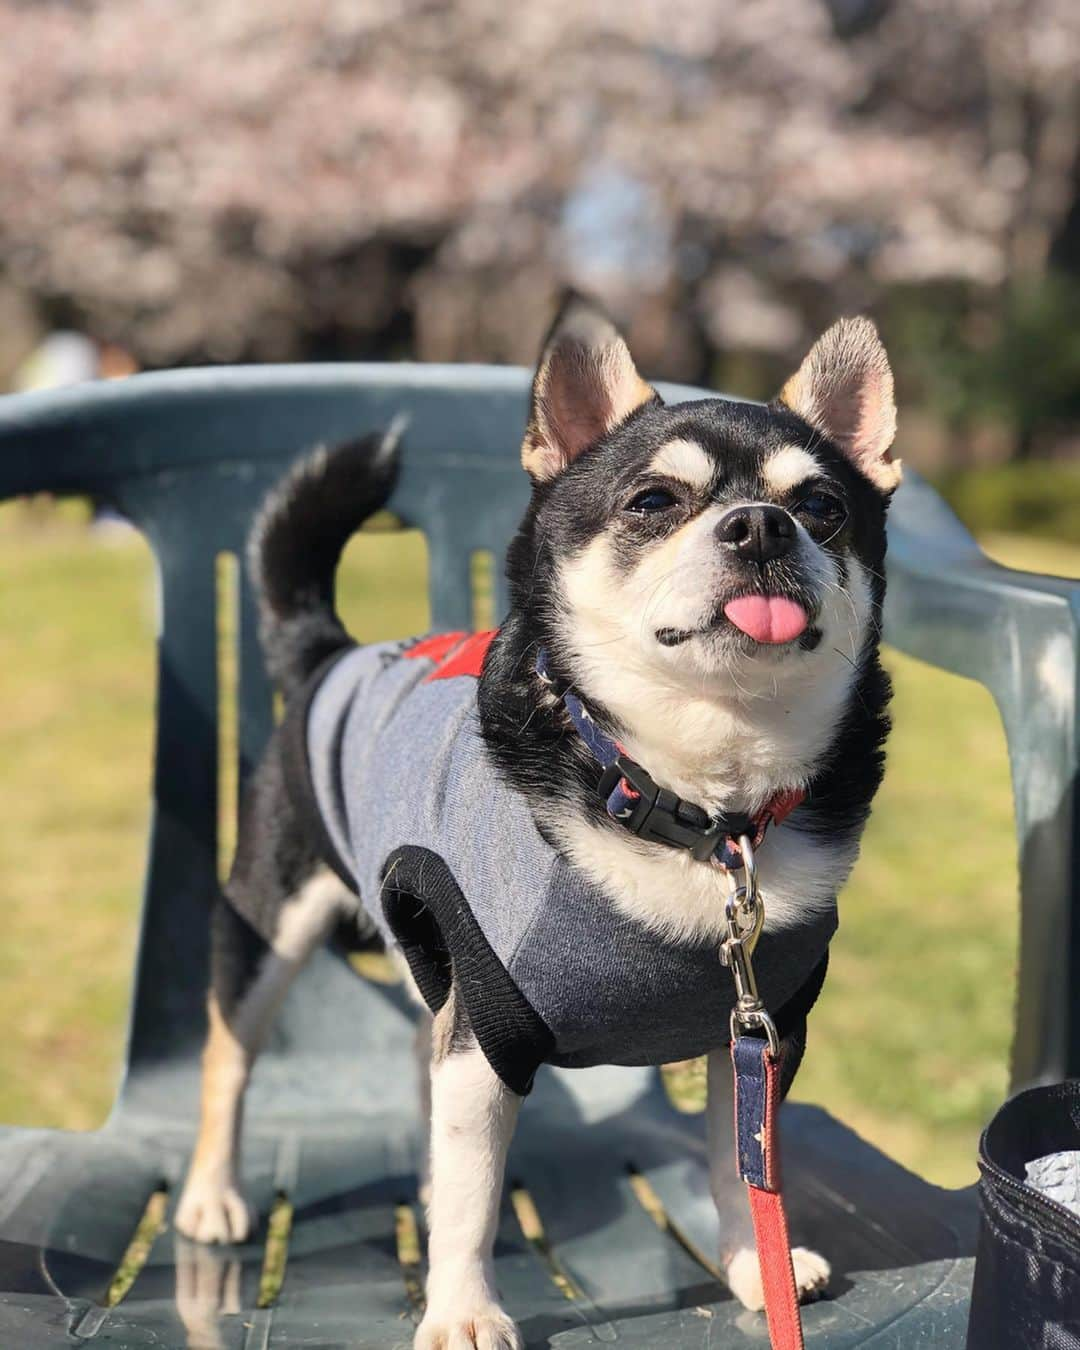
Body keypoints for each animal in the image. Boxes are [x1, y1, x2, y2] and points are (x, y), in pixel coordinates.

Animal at [176, 298, 896, 1350]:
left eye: (824, 509)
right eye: (651, 501)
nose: (761, 524)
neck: (689, 805)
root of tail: (332, 651)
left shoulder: (755, 1037)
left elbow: (741, 1164)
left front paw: (748, 1268)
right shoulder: (488, 1028)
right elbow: (478, 1191)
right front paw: (464, 1308)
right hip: (273, 918)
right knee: (230, 1053)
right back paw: (212, 1194)